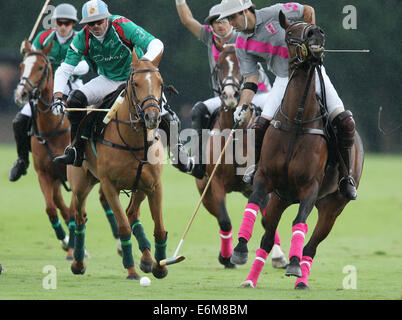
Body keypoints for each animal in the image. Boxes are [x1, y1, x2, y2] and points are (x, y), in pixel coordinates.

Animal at [12, 40, 121, 258]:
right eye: (22, 66)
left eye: (41, 67)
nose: (21, 94)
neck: (52, 127)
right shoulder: (44, 174)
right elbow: (51, 209)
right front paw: (65, 241)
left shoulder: (73, 174)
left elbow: (71, 211)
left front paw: (73, 249)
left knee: (104, 201)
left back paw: (120, 244)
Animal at [68, 48, 169, 278]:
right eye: (136, 84)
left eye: (160, 82)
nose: (152, 117)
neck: (135, 142)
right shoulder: (109, 186)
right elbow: (122, 227)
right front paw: (131, 270)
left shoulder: (155, 185)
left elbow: (159, 227)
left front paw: (159, 266)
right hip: (81, 184)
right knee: (80, 216)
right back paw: (77, 263)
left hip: (139, 187)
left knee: (132, 213)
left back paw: (147, 259)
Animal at [196, 45, 288, 270]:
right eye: (219, 66)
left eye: (240, 67)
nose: (230, 94)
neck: (234, 132)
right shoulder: (215, 183)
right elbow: (224, 220)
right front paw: (227, 257)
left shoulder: (259, 184)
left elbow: (264, 219)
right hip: (205, 192)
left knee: (265, 216)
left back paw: (278, 256)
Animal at [236, 11, 364, 290]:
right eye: (290, 34)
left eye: (311, 26)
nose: (317, 34)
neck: (297, 119)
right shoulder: (265, 179)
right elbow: (252, 206)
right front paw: (239, 249)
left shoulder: (310, 187)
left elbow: (299, 223)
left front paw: (294, 266)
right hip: (280, 198)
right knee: (267, 235)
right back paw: (251, 279)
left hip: (332, 205)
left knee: (312, 244)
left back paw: (301, 278)